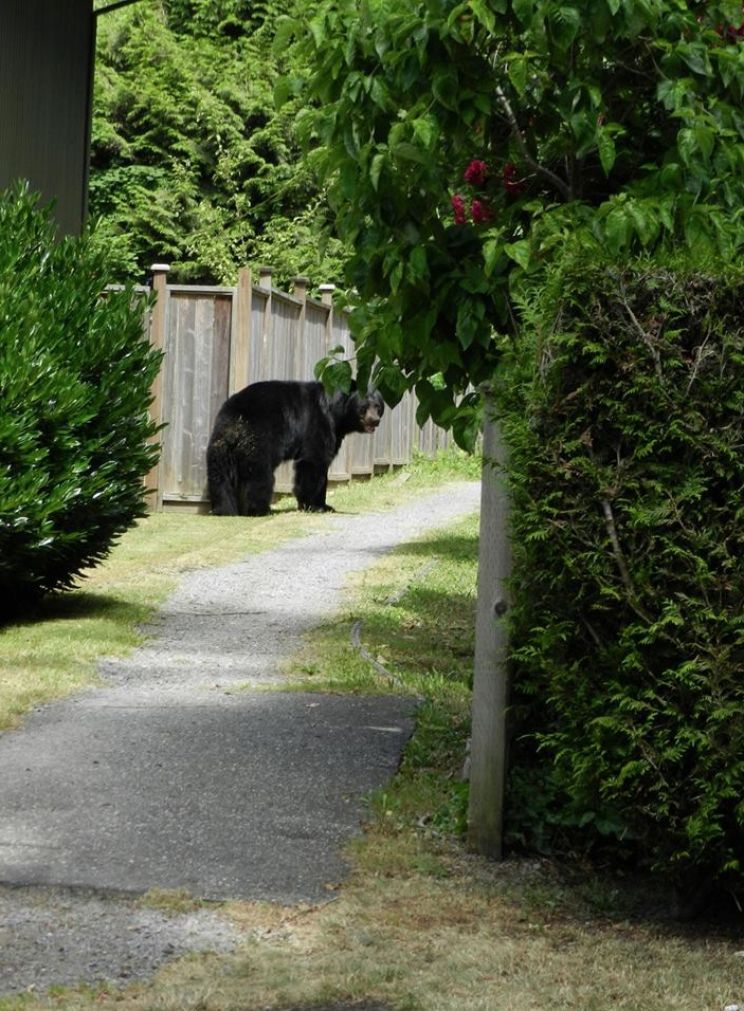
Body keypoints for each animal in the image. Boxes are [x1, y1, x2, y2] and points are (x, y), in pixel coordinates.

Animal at [208, 378, 386, 513]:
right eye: (364, 407)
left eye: (378, 406)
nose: (375, 420)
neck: (336, 413)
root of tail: (237, 422)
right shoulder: (318, 423)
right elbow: (314, 461)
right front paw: (314, 505)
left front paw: (325, 505)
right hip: (260, 438)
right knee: (259, 475)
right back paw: (260, 509)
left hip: (220, 441)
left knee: (219, 474)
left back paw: (224, 508)